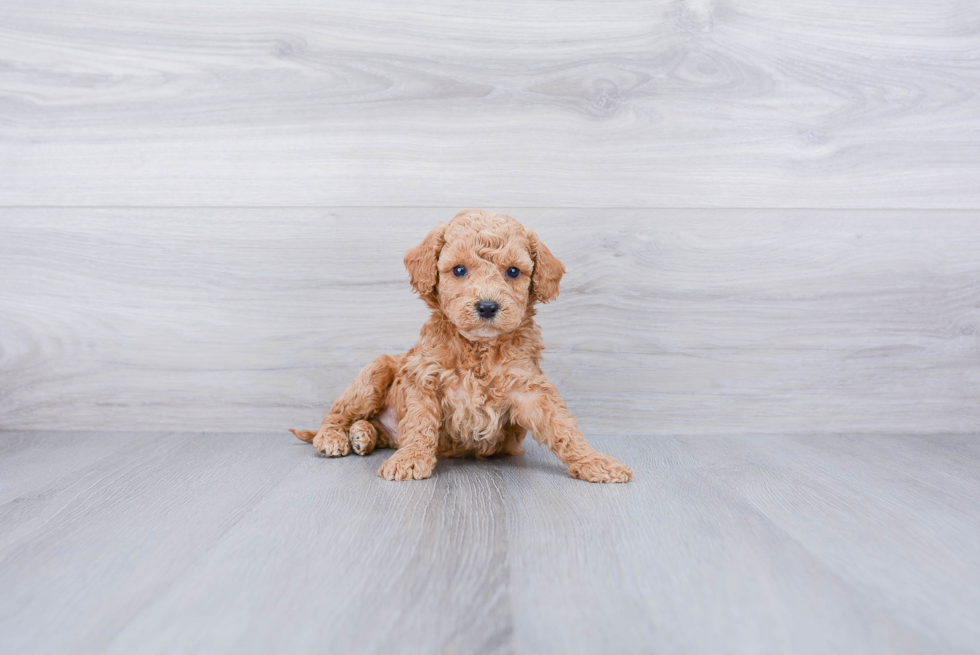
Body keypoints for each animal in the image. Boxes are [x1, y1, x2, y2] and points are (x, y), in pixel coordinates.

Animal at [290, 208, 632, 484]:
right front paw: (410, 460)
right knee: (338, 414)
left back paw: (364, 434)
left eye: (513, 271)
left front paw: (596, 462)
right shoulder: (424, 379)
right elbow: (419, 423)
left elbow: (563, 427)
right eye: (458, 270)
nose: (487, 306)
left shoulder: (528, 386)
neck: (478, 348)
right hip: (375, 372)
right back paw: (335, 438)